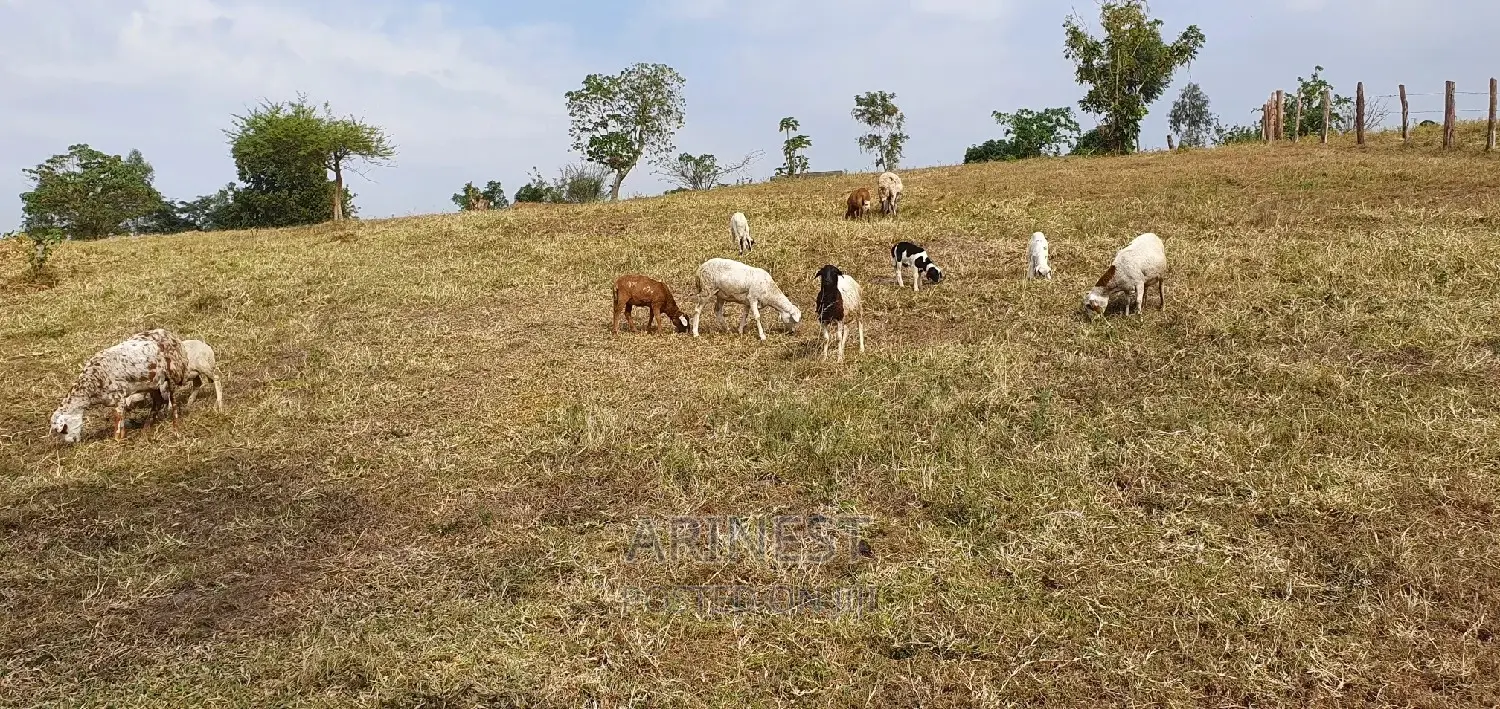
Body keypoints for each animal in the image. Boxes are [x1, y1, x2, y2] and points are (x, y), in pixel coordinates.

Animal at [49, 328, 189, 443]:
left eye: (64, 429)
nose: (71, 441)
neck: (91, 384)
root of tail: (171, 335)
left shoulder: (119, 396)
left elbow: (118, 422)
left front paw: (117, 441)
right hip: (151, 382)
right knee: (158, 401)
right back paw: (146, 428)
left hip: (174, 374)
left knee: (173, 401)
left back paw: (176, 428)